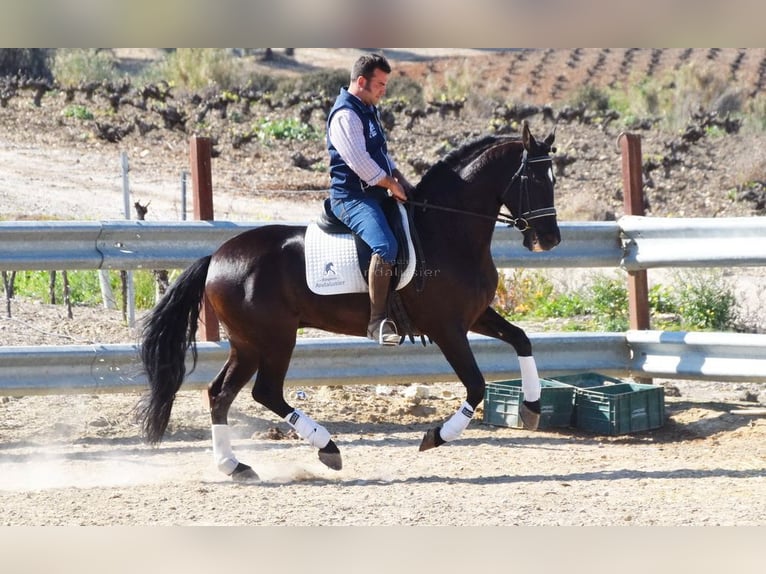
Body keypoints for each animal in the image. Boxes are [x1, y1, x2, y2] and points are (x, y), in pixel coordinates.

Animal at [138, 122, 560, 482]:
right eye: (536, 179)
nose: (550, 239)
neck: (446, 229)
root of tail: (216, 257)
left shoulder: (475, 316)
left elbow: (521, 339)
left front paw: (531, 409)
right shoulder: (447, 329)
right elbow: (475, 385)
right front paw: (436, 435)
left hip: (248, 344)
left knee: (220, 394)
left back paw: (234, 465)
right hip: (275, 339)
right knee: (265, 392)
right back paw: (327, 448)